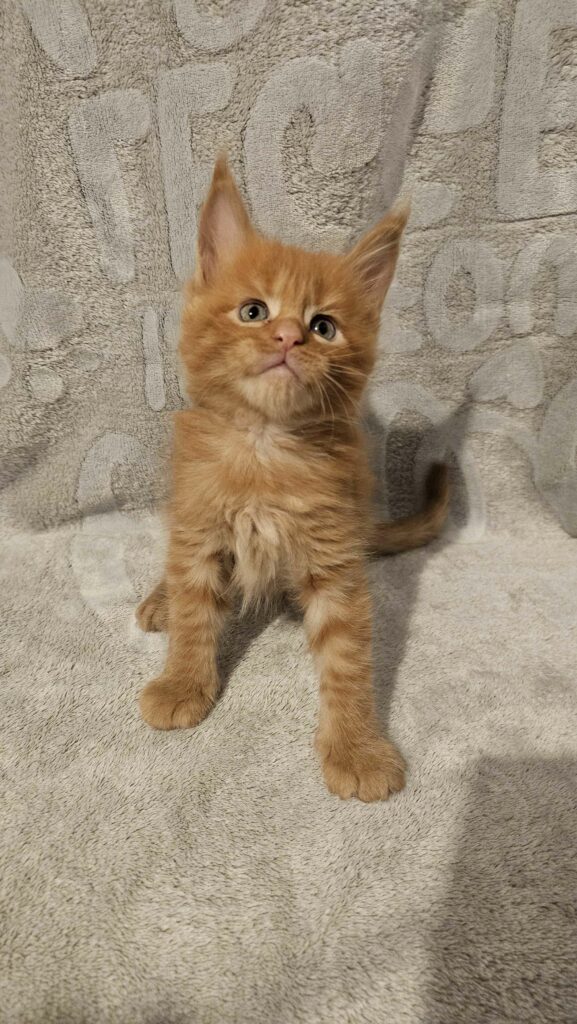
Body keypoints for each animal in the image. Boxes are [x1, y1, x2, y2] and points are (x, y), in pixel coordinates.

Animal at [136, 156, 449, 802]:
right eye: (253, 311)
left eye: (324, 326)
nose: (287, 337)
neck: (265, 447)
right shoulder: (200, 527)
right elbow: (194, 612)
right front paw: (182, 683)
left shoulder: (335, 559)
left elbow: (347, 659)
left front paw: (356, 747)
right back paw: (160, 598)